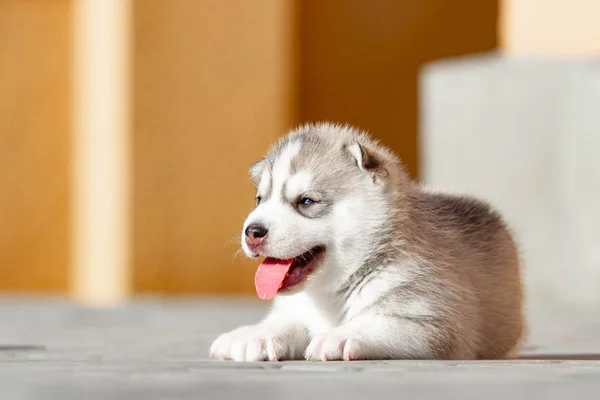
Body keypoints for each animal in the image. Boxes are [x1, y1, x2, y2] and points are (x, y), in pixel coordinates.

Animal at [211, 122, 524, 362]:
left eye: (307, 201)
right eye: (259, 199)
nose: (252, 231)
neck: (333, 292)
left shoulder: (437, 321)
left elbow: (379, 322)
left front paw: (340, 336)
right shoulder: (297, 310)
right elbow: (285, 321)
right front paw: (254, 334)